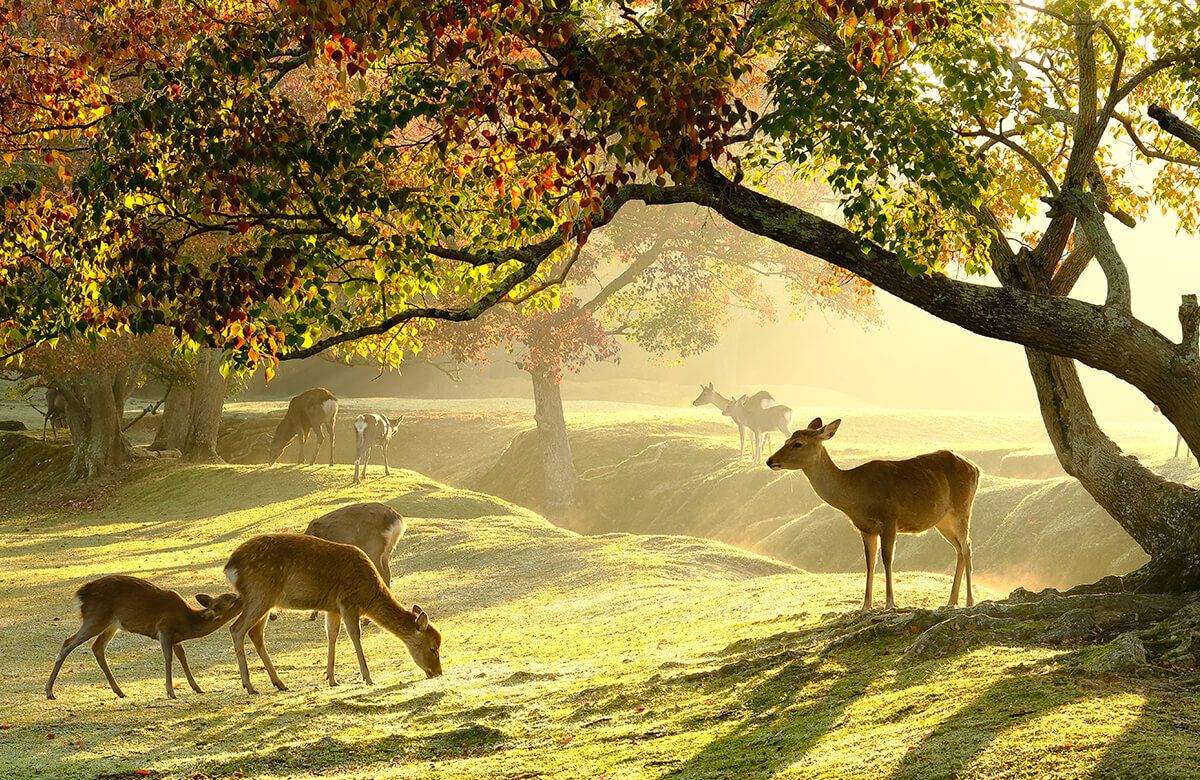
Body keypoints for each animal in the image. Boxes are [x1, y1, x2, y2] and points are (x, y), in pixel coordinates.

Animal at [45, 575, 243, 700]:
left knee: (97, 647)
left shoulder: (175, 638)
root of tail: (80, 595)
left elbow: (183, 657)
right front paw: (171, 692)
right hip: (96, 618)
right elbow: (168, 658)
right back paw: (49, 691)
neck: (187, 622)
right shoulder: (164, 629)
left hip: (111, 624)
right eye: (231, 601)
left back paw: (119, 691)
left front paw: (197, 687)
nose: (241, 596)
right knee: (68, 642)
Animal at [223, 533, 441, 692]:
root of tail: (230, 567)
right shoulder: (348, 602)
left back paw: (280, 683)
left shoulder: (332, 608)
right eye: (432, 647)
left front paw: (331, 678)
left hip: (265, 601)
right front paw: (368, 678)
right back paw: (249, 686)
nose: (438, 672)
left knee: (255, 633)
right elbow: (354, 636)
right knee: (236, 629)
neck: (369, 596)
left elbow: (332, 635)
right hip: (259, 594)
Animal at [766, 417, 980, 611]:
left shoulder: (890, 519)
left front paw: (890, 604)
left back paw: (969, 601)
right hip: (943, 521)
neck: (857, 494)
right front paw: (865, 606)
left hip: (962, 508)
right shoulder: (866, 528)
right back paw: (951, 602)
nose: (770, 461)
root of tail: (976, 468)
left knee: (967, 546)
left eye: (798, 443)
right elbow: (870, 562)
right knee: (959, 548)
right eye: (786, 440)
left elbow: (887, 558)